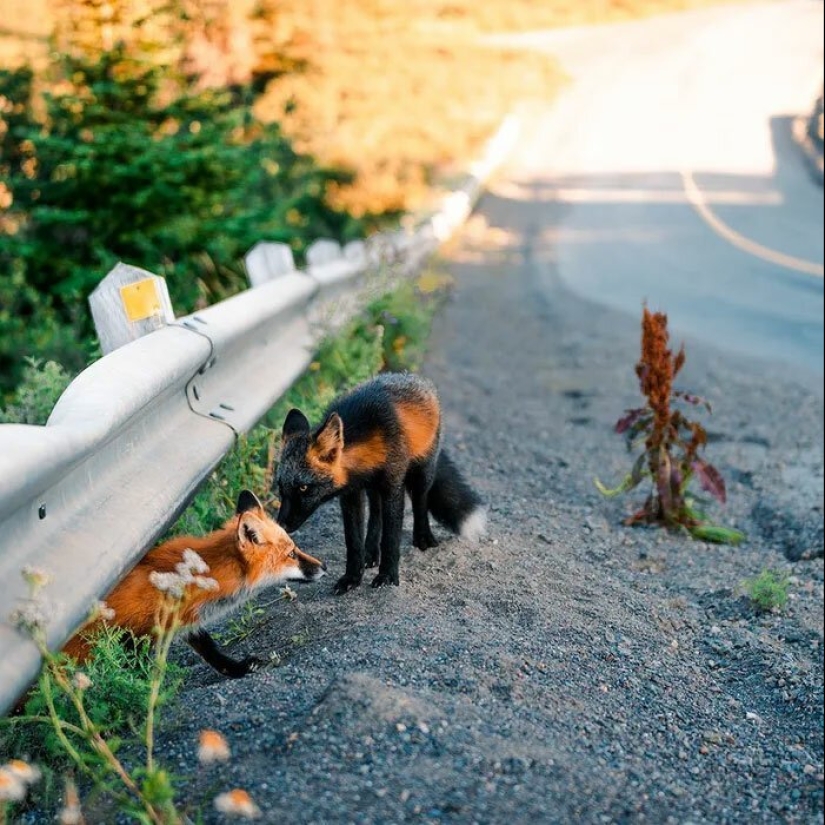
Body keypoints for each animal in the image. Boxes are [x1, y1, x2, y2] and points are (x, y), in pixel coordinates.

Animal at [63, 490, 326, 678]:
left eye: (295, 548)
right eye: (291, 554)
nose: (324, 567)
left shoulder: (182, 622)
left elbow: (211, 651)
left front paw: (237, 669)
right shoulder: (130, 637)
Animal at [275, 372, 486, 593]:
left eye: (303, 487)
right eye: (280, 487)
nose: (281, 525)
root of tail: (413, 377)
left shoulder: (393, 486)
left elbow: (391, 538)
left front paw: (387, 575)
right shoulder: (352, 494)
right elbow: (353, 541)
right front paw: (352, 577)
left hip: (422, 473)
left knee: (421, 502)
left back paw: (423, 537)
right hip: (375, 489)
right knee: (376, 515)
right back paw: (370, 552)